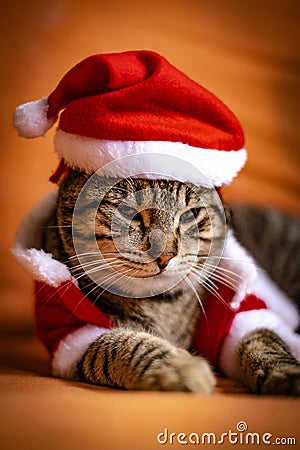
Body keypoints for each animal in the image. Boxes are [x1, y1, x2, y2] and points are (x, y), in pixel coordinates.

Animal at [40, 169, 300, 394]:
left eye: (189, 215)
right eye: (128, 211)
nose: (165, 254)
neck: (161, 304)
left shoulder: (236, 314)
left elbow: (264, 341)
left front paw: (287, 375)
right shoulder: (69, 327)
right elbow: (124, 344)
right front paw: (180, 366)